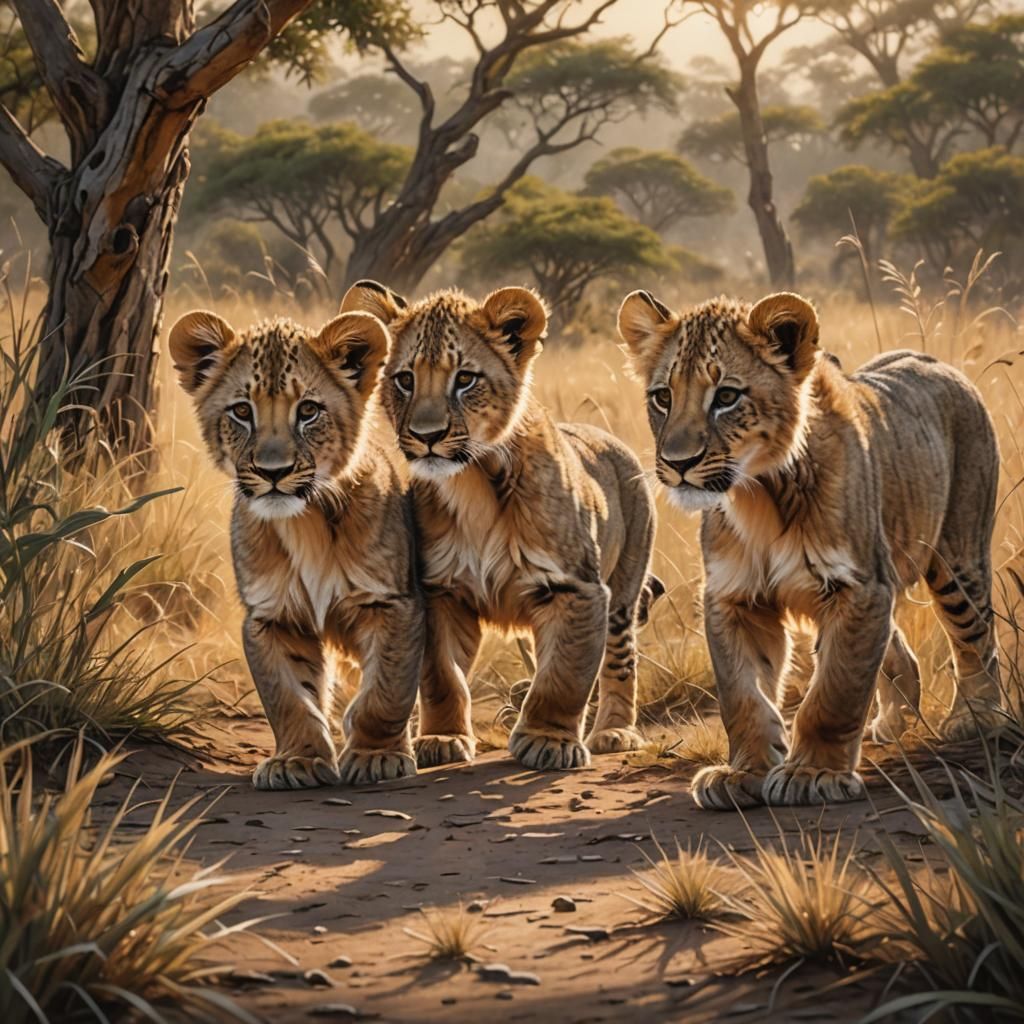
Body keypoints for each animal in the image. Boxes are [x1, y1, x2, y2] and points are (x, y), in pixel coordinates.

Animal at [169, 309, 426, 790]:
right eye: (242, 411)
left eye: (308, 411)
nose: (274, 472)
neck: (303, 521)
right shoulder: (272, 616)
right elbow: (288, 697)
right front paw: (297, 761)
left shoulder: (391, 602)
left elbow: (386, 691)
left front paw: (376, 756)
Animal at [339, 280, 661, 771]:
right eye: (405, 380)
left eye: (465, 379)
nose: (427, 436)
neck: (474, 482)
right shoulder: (440, 591)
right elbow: (442, 675)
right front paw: (442, 738)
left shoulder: (577, 587)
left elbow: (563, 676)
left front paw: (549, 743)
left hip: (625, 589)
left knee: (620, 662)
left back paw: (614, 732)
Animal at [618, 288, 1004, 808]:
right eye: (663, 397)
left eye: (726, 397)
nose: (678, 464)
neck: (758, 495)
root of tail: (935, 362)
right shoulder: (735, 597)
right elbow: (744, 695)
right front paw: (744, 774)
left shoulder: (858, 588)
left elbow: (834, 691)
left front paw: (813, 774)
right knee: (900, 649)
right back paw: (894, 721)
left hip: (958, 557)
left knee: (975, 635)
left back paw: (975, 716)